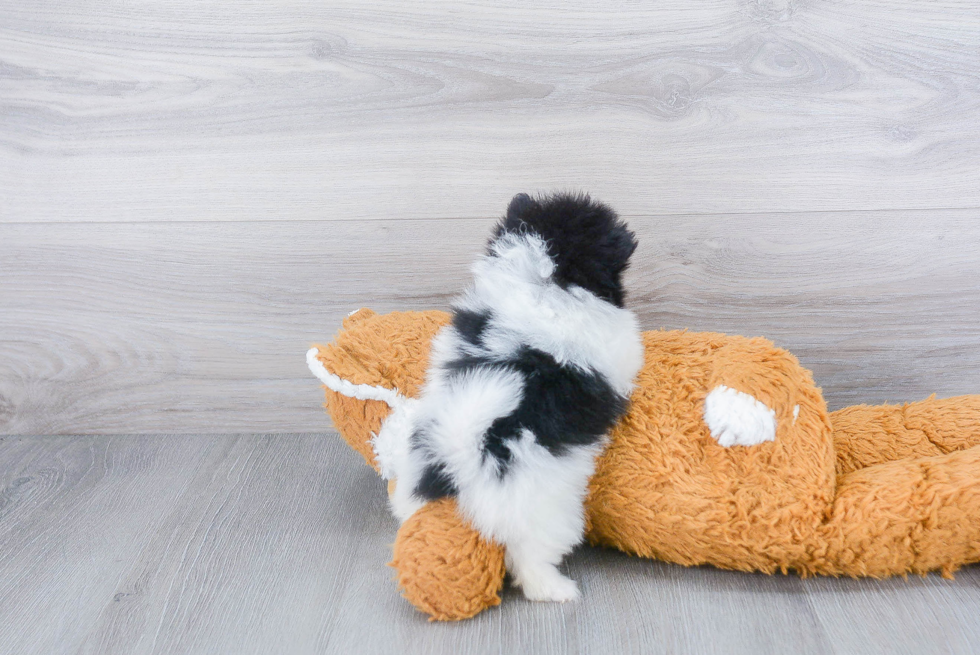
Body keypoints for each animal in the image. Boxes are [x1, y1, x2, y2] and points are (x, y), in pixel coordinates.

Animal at [378, 192, 648, 604]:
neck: (541, 282)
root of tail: (464, 461)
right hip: (547, 513)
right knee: (530, 558)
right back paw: (556, 589)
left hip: (417, 475)